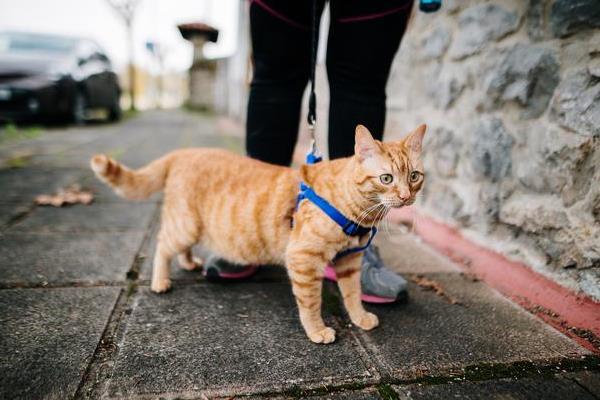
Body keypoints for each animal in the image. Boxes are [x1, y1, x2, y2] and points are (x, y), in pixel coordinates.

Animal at [90, 125, 426, 344]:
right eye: (386, 178)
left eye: (414, 176)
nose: (406, 197)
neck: (358, 212)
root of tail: (185, 151)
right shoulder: (303, 259)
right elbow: (311, 302)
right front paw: (317, 330)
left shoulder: (350, 261)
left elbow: (353, 294)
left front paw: (359, 317)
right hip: (185, 226)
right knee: (162, 245)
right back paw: (160, 281)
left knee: (178, 248)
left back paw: (188, 263)